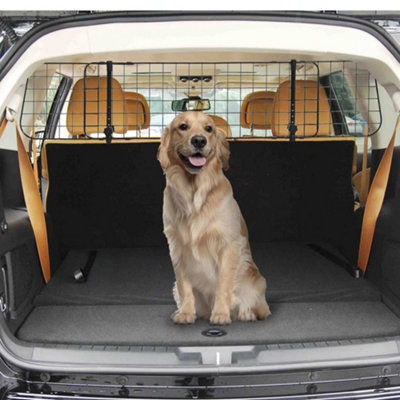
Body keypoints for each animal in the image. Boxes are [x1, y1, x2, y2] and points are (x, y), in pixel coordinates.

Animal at [158, 111, 270, 324]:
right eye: (183, 126)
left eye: (208, 128)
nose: (199, 140)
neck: (194, 192)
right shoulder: (177, 248)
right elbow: (185, 287)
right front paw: (185, 314)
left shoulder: (228, 244)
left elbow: (223, 285)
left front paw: (220, 314)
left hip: (256, 280)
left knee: (257, 306)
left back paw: (246, 314)